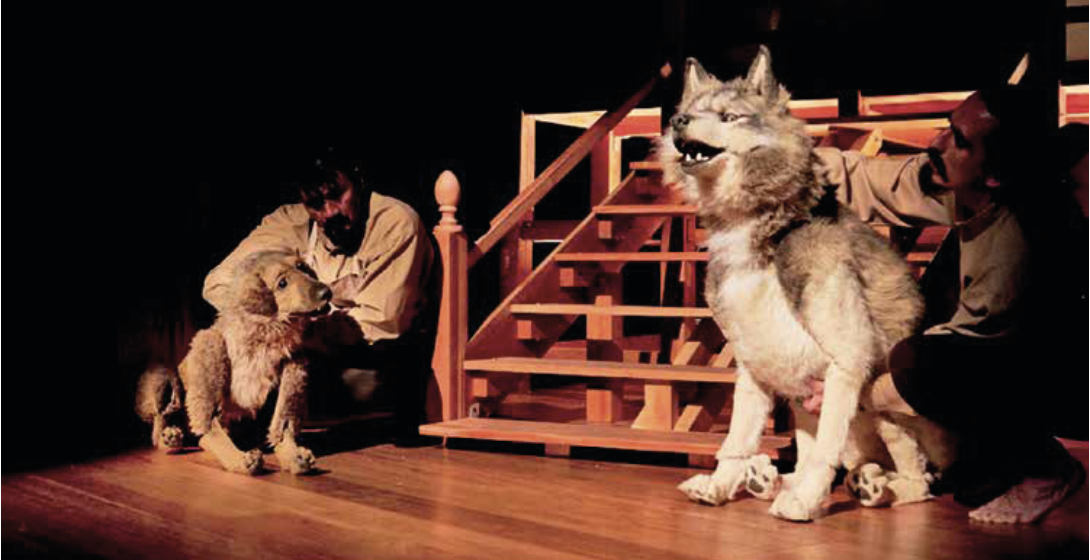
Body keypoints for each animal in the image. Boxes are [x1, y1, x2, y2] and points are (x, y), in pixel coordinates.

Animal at [658, 47, 954, 521]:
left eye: (729, 117)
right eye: (689, 111)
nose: (676, 122)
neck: (758, 225)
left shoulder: (848, 360)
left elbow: (822, 454)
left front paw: (803, 503)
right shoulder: (755, 366)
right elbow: (737, 441)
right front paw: (721, 487)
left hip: (881, 399)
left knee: (918, 481)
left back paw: (873, 489)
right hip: (806, 402)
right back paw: (770, 480)